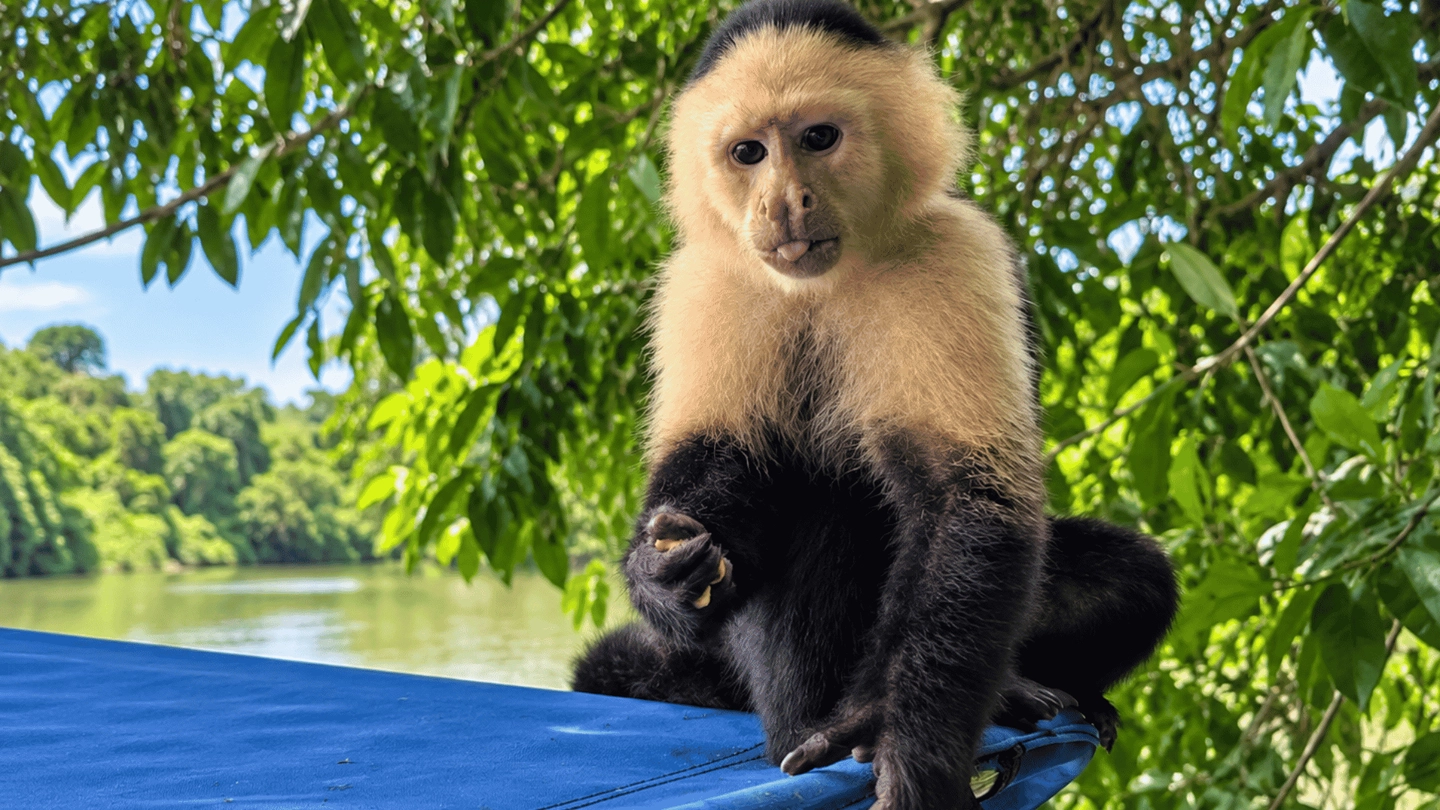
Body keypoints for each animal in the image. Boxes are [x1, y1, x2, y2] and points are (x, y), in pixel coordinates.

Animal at [570, 1, 1178, 807]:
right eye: (748, 152)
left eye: (817, 138)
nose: (781, 203)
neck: (830, 277)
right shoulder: (704, 281)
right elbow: (718, 464)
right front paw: (659, 574)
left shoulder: (952, 254)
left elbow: (965, 499)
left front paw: (901, 734)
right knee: (811, 497)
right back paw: (812, 718)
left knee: (1133, 578)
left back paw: (1016, 689)